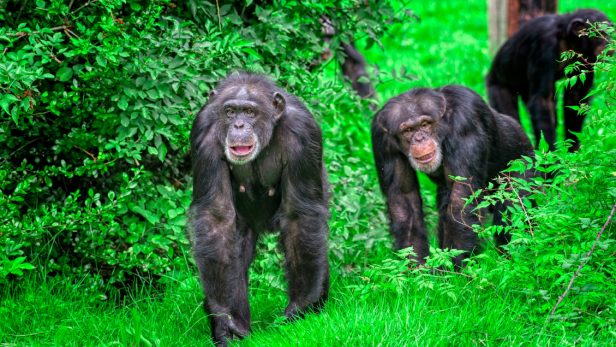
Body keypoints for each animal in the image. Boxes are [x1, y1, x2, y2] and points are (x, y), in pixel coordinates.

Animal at [189, 72, 330, 346]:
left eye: (250, 112)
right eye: (230, 111)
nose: (239, 126)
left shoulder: (303, 133)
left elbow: (300, 215)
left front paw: (301, 307)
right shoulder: (203, 134)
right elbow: (216, 217)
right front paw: (222, 318)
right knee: (234, 259)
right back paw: (239, 330)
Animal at [370, 85, 536, 270]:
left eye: (425, 124)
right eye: (408, 130)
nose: (420, 139)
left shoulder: (464, 120)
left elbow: (460, 198)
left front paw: (452, 271)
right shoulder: (382, 140)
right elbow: (404, 199)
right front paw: (418, 270)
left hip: (526, 166)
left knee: (512, 206)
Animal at [486, 8, 612, 151]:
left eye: (610, 33)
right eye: (601, 33)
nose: (609, 42)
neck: (569, 39)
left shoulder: (588, 57)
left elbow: (576, 96)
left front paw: (573, 148)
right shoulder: (544, 46)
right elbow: (543, 99)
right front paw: (550, 153)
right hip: (497, 87)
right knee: (509, 114)